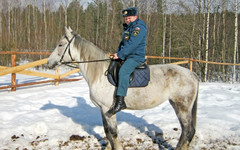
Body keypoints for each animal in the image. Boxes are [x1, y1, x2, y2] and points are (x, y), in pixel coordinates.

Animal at [47, 27, 199, 150]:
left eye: (60, 44)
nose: (49, 63)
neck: (99, 74)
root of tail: (191, 74)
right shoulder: (102, 110)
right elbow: (107, 132)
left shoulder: (108, 110)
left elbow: (113, 133)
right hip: (176, 105)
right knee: (185, 131)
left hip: (183, 107)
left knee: (188, 130)